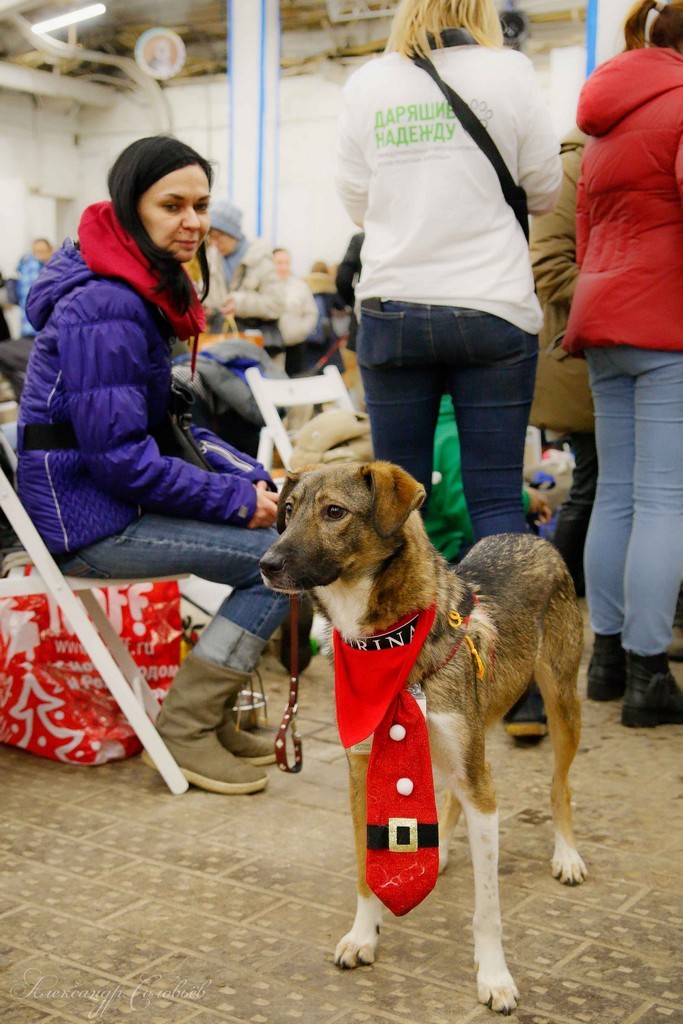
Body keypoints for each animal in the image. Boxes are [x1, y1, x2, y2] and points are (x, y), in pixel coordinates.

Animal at [260, 464, 589, 1015]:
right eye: (287, 511)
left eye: (334, 512)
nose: (266, 565)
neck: (386, 642)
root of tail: (528, 536)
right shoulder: (362, 773)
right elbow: (365, 868)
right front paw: (363, 936)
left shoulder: (482, 785)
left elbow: (488, 907)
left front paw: (495, 976)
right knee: (452, 796)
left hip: (561, 703)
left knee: (560, 785)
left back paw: (566, 855)